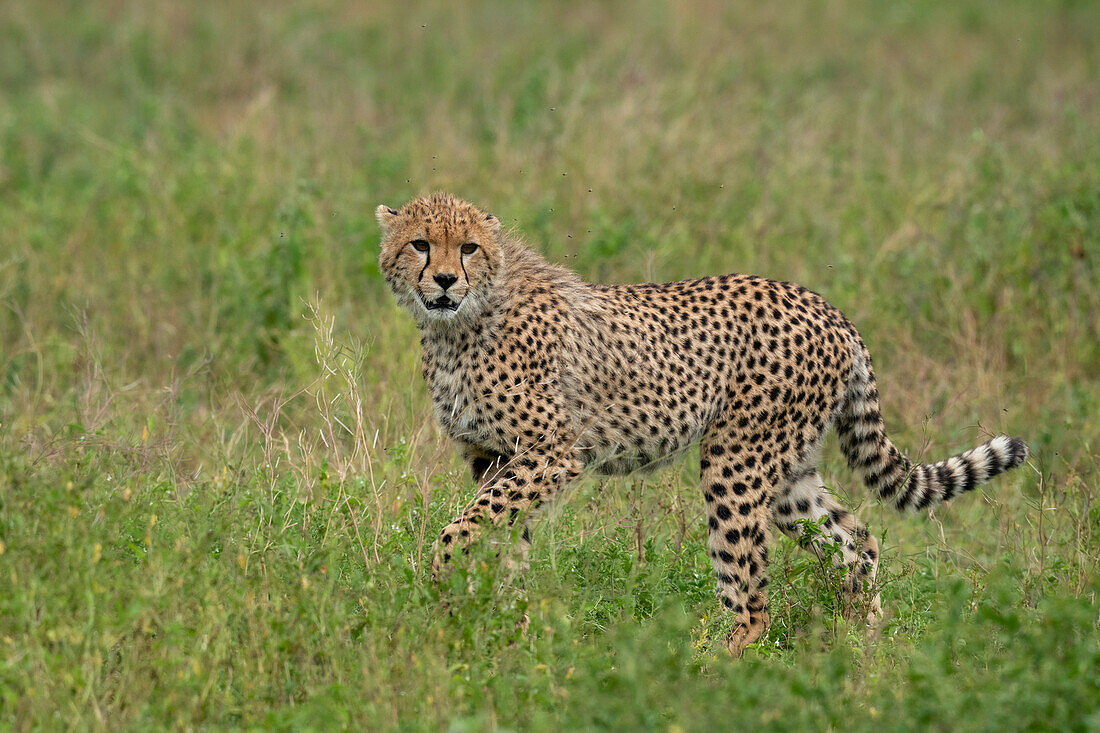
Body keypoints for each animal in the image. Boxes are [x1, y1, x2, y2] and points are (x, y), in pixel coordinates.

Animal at [378, 191, 1029, 651]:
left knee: (752, 596)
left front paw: (444, 585)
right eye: (419, 244)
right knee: (857, 541)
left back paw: (710, 665)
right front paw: (499, 623)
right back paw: (863, 646)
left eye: (467, 248)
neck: (458, 324)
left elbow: (462, 529)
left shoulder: (553, 451)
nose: (444, 280)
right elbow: (501, 539)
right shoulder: (494, 458)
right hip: (788, 476)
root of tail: (825, 307)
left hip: (734, 463)